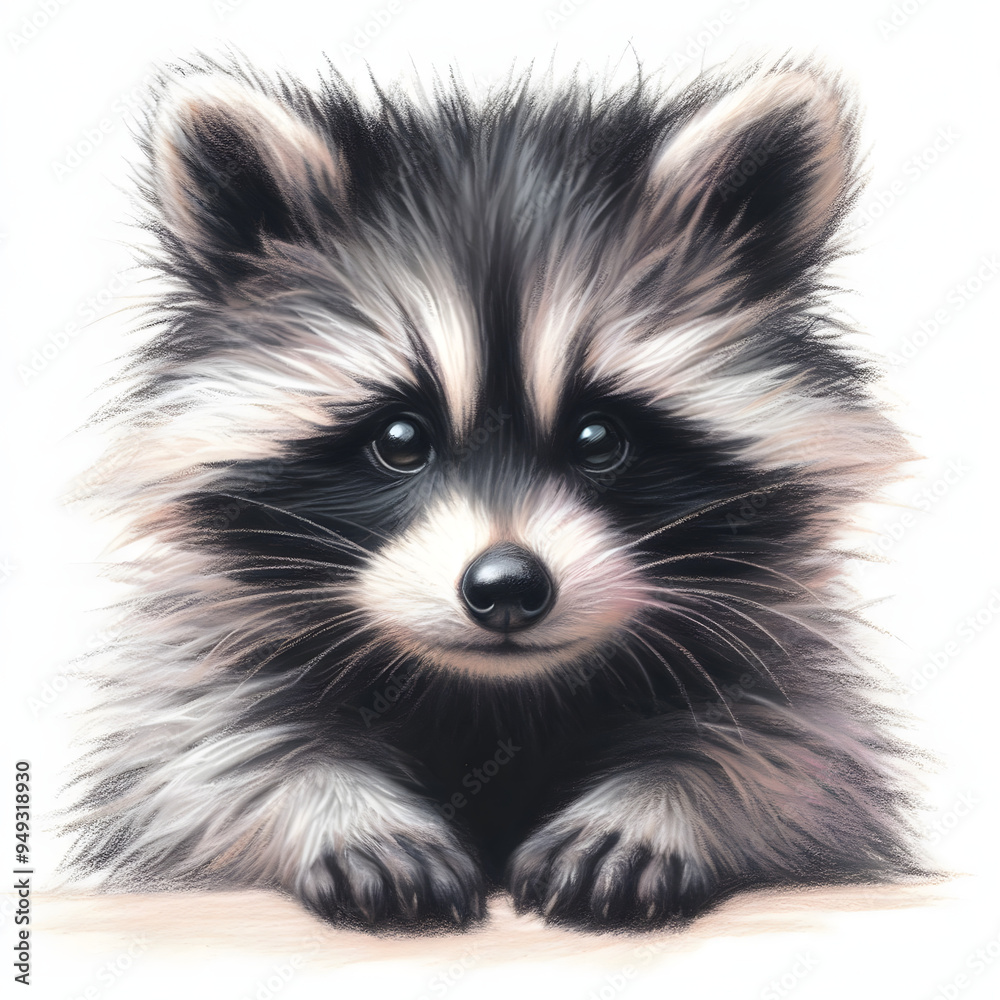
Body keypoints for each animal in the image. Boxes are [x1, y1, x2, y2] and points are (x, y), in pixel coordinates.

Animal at [64, 56, 923, 928]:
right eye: (400, 439)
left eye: (598, 438)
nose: (507, 586)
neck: (496, 697)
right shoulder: (208, 639)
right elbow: (194, 750)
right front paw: (338, 807)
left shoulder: (773, 644)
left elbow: (796, 746)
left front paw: (660, 801)